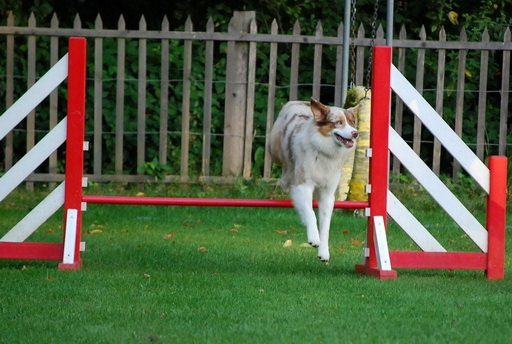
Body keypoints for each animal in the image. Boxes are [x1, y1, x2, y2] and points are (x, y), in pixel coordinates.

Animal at [270, 98, 358, 262]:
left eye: (352, 122)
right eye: (338, 122)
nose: (356, 133)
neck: (324, 151)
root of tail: (299, 101)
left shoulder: (328, 194)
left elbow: (325, 226)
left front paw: (323, 251)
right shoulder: (303, 185)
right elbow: (310, 212)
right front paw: (314, 238)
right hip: (275, 151)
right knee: (285, 165)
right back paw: (285, 182)